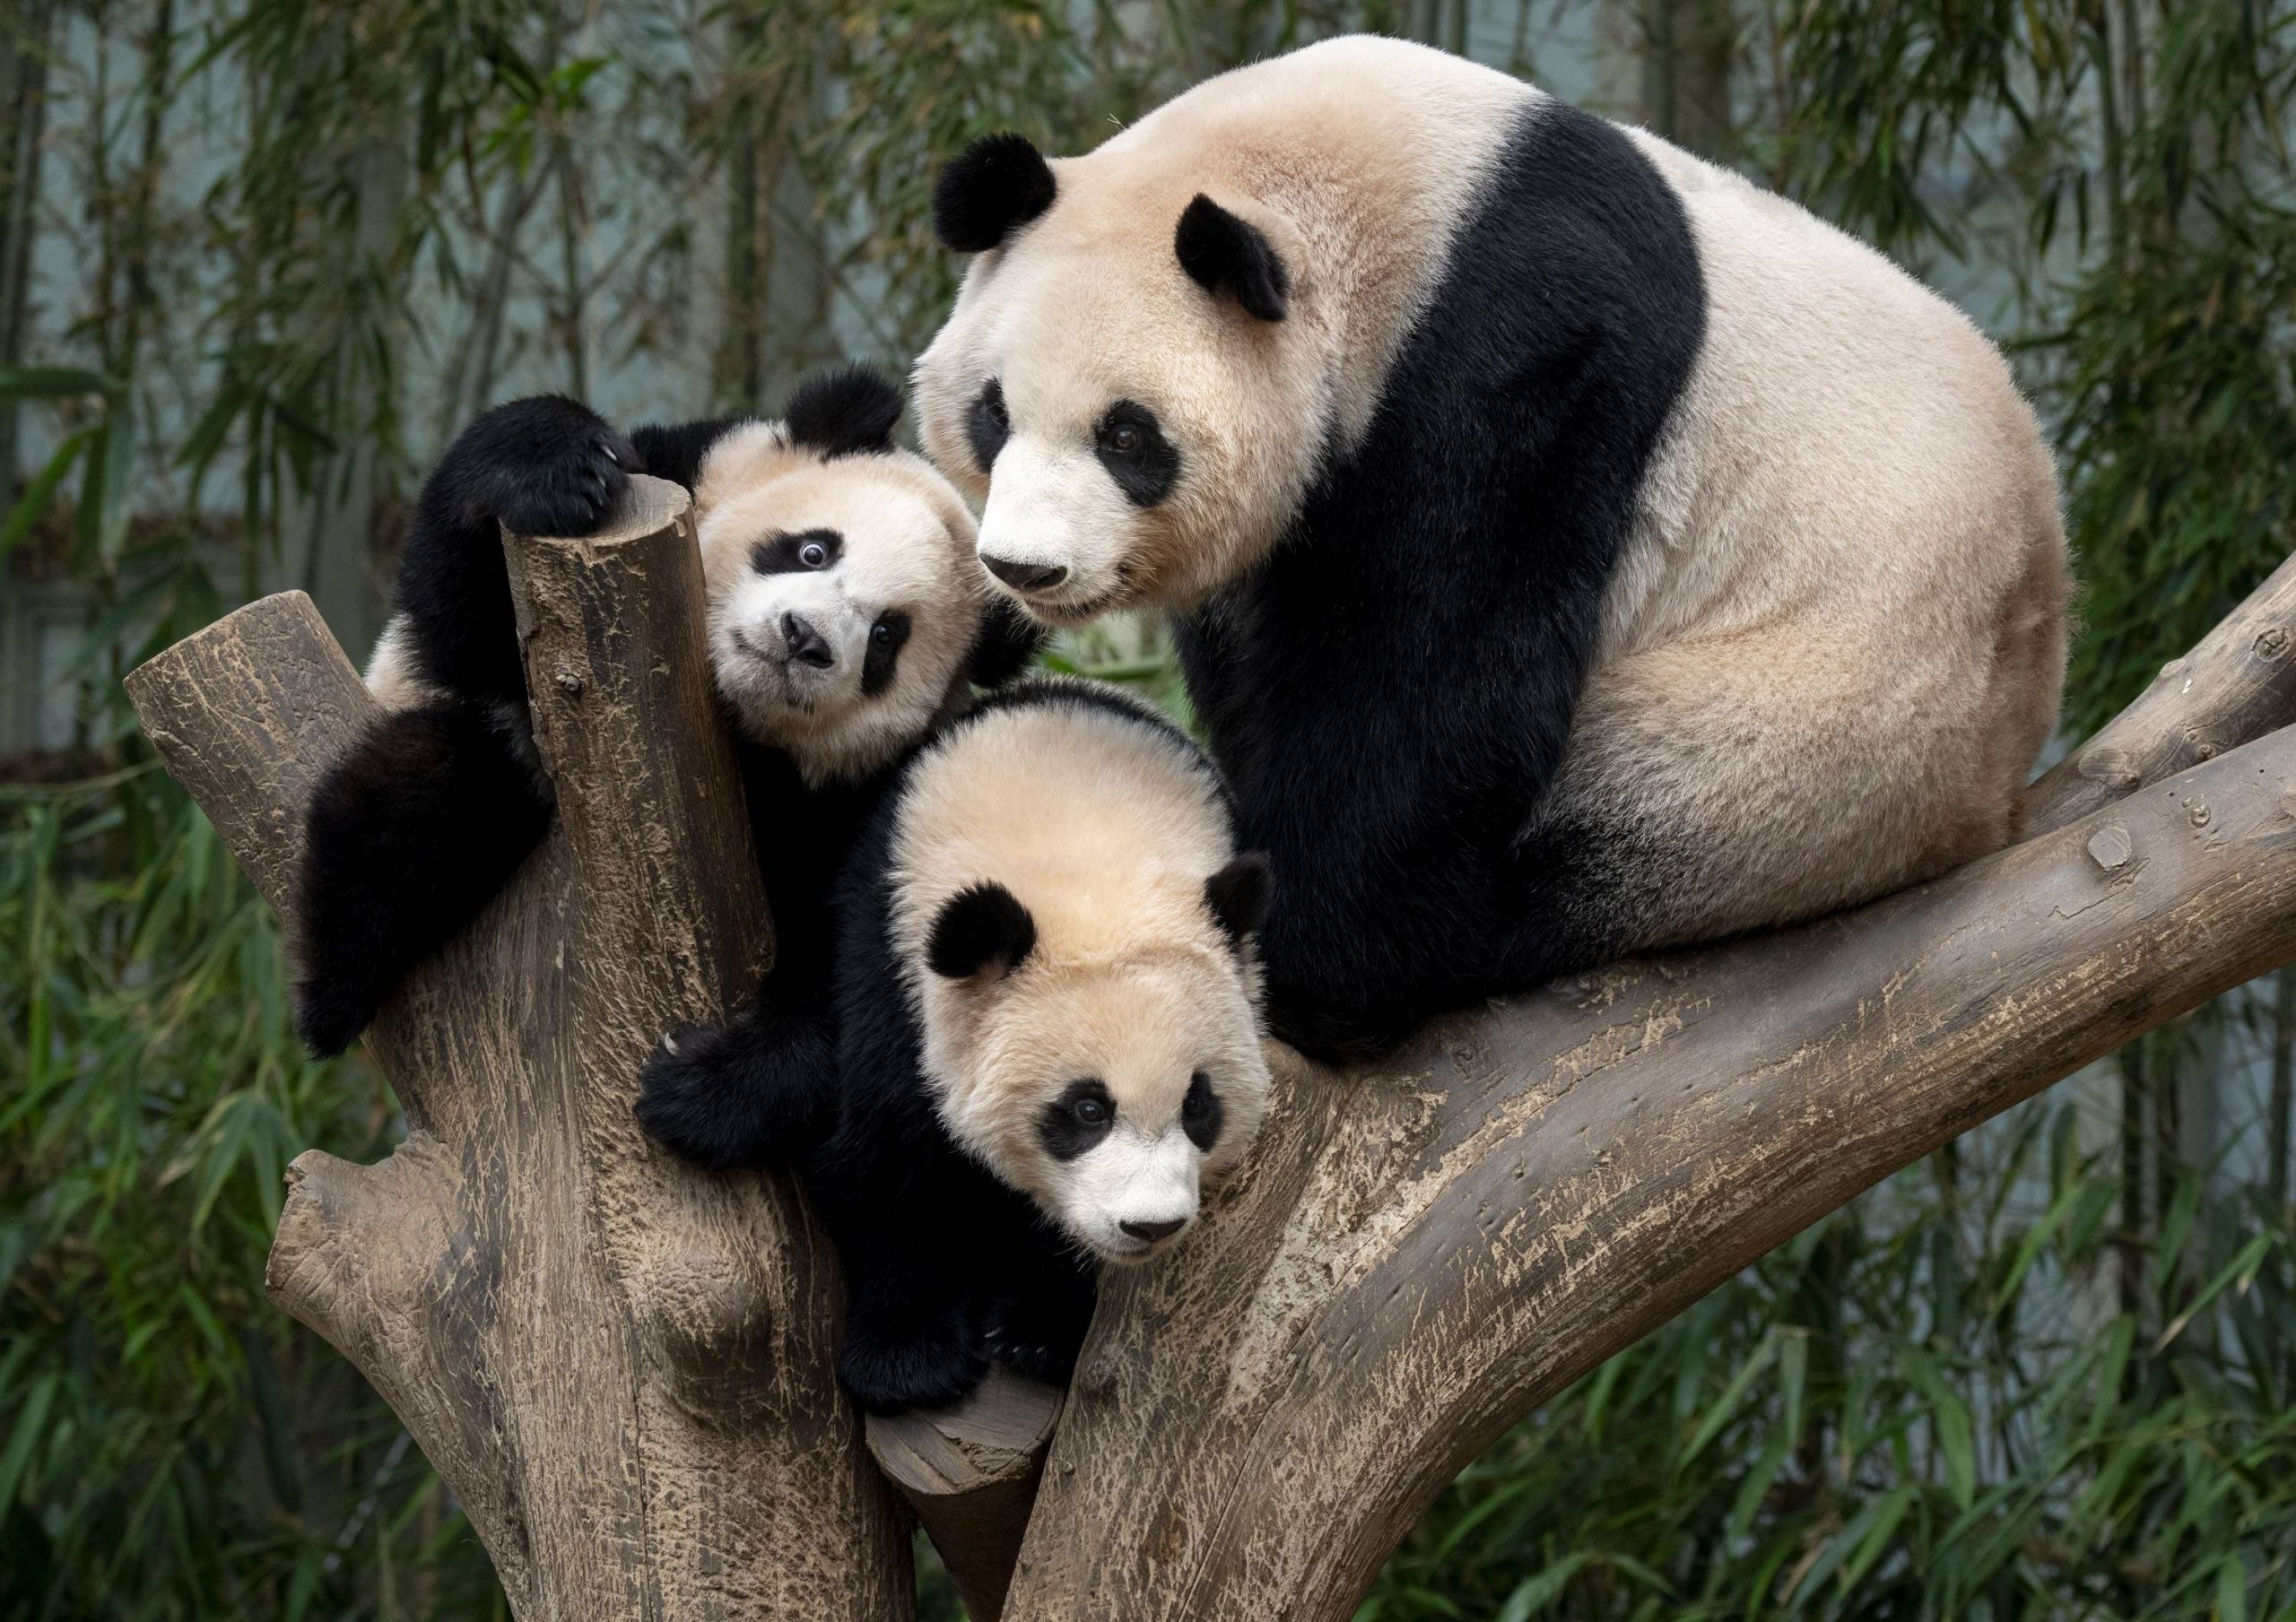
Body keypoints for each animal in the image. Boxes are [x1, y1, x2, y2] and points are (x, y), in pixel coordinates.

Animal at [298, 374, 1042, 1073]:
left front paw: (704, 1084)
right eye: (812, 551)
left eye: (887, 637)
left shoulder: (856, 800)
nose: (803, 638)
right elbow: (460, 623)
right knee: (414, 803)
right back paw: (334, 996)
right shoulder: (678, 468)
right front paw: (561, 473)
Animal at [638, 679, 1276, 1413]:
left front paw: (1041, 1331)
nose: (1151, 1225)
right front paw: (908, 1356)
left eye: (1198, 1105)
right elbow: (886, 1152)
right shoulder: (887, 944)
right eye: (1087, 1110)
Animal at [913, 34, 2084, 1064]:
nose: (1025, 569)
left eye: (1126, 437)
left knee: (1614, 831)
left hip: (1798, 738)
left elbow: (1434, 678)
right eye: (993, 412)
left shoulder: (1519, 352)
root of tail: (2002, 774)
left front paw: (1308, 958)